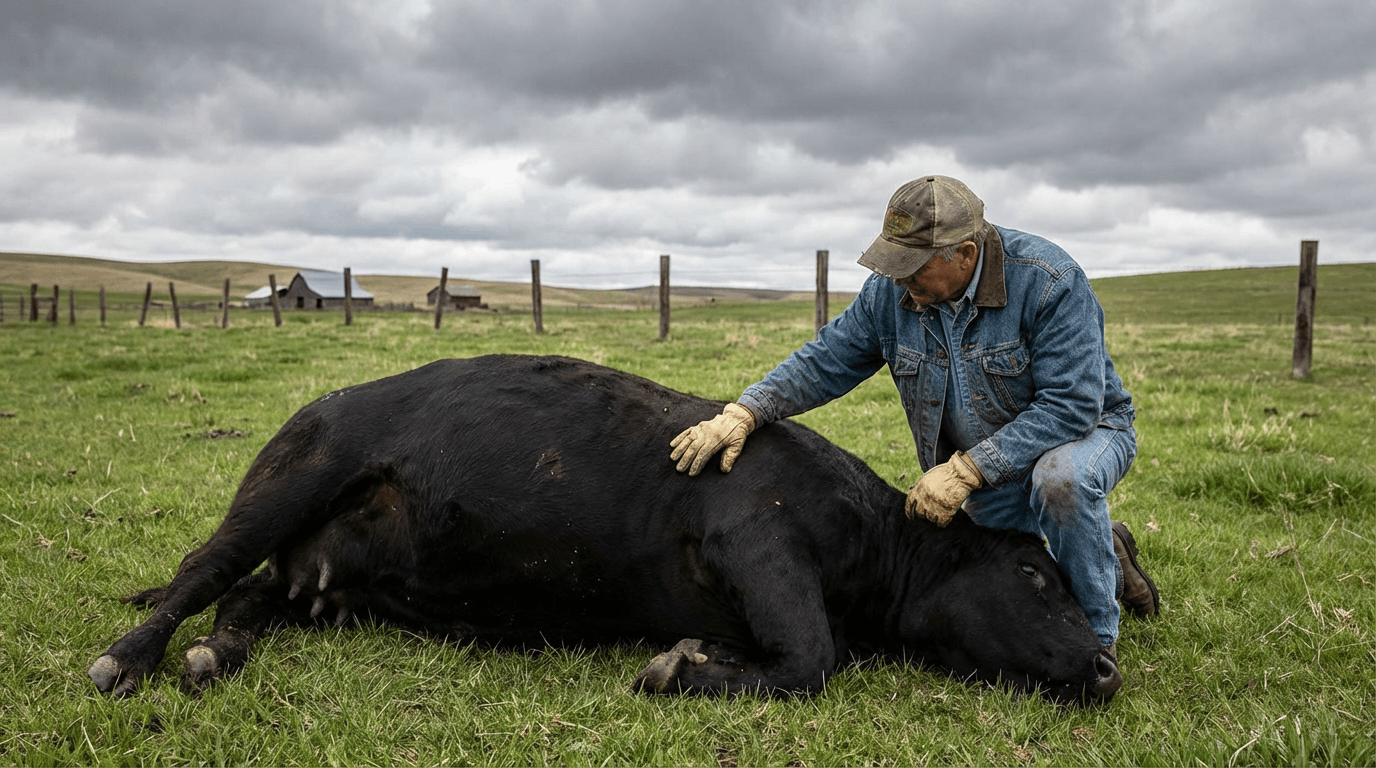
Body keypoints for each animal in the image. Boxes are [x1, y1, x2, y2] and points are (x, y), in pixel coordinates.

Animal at [88, 355, 1122, 704]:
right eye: (1035, 576)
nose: (1107, 666)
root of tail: (324, 402)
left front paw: (698, 656)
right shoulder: (758, 539)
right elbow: (808, 661)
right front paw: (679, 667)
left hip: (324, 578)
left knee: (254, 592)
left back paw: (215, 655)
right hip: (295, 476)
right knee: (203, 568)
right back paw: (129, 659)